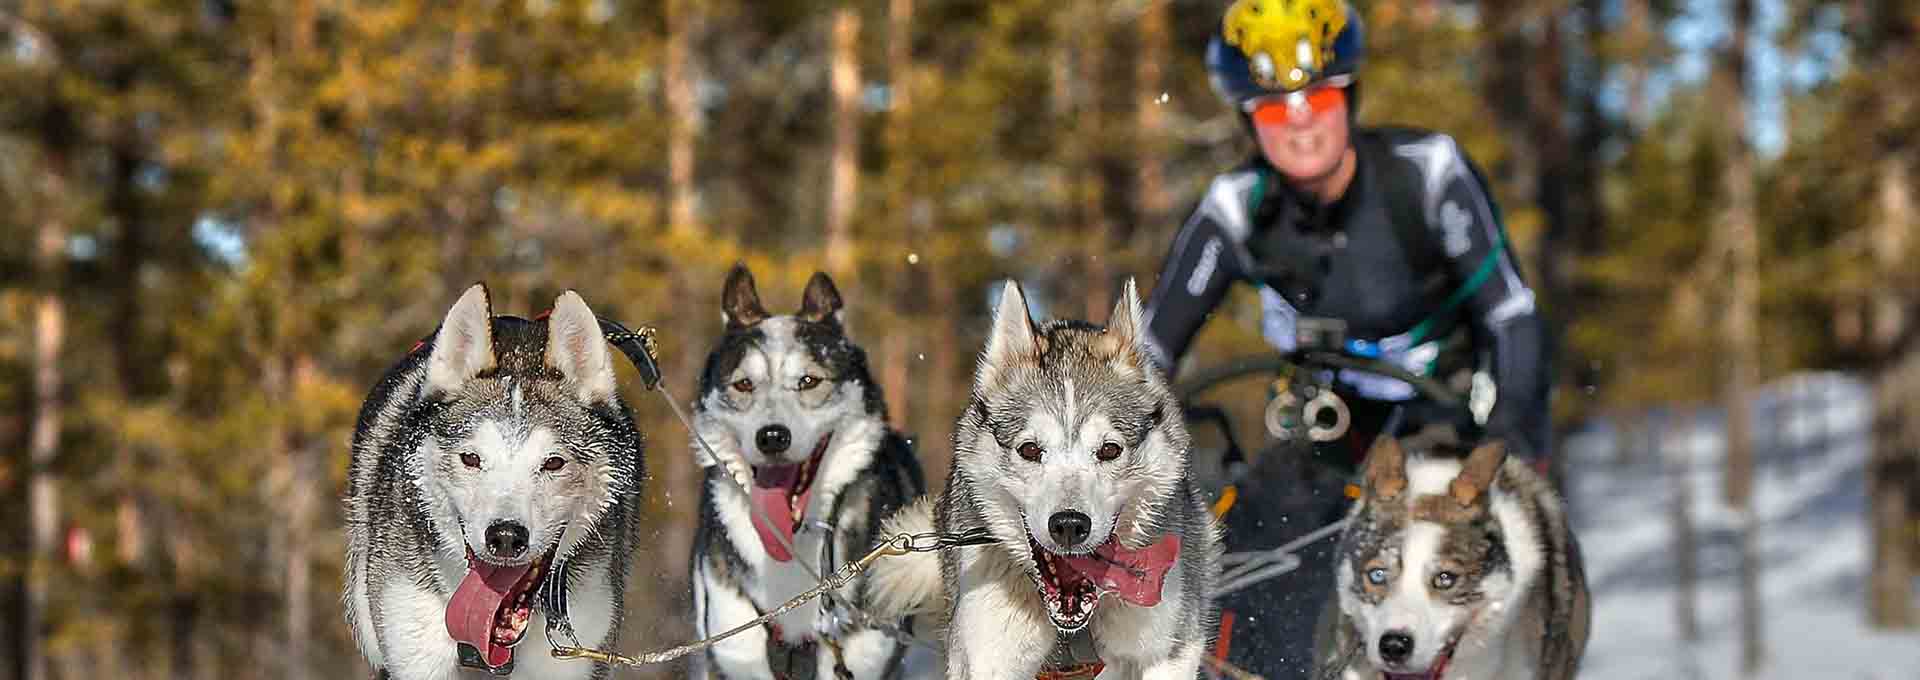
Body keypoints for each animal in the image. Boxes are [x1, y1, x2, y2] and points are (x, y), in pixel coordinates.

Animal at [871, 278, 1213, 676]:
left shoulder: (1167, 653)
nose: (1069, 524)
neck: (1072, 627)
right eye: (1030, 449)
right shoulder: (990, 657)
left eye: (1109, 449)